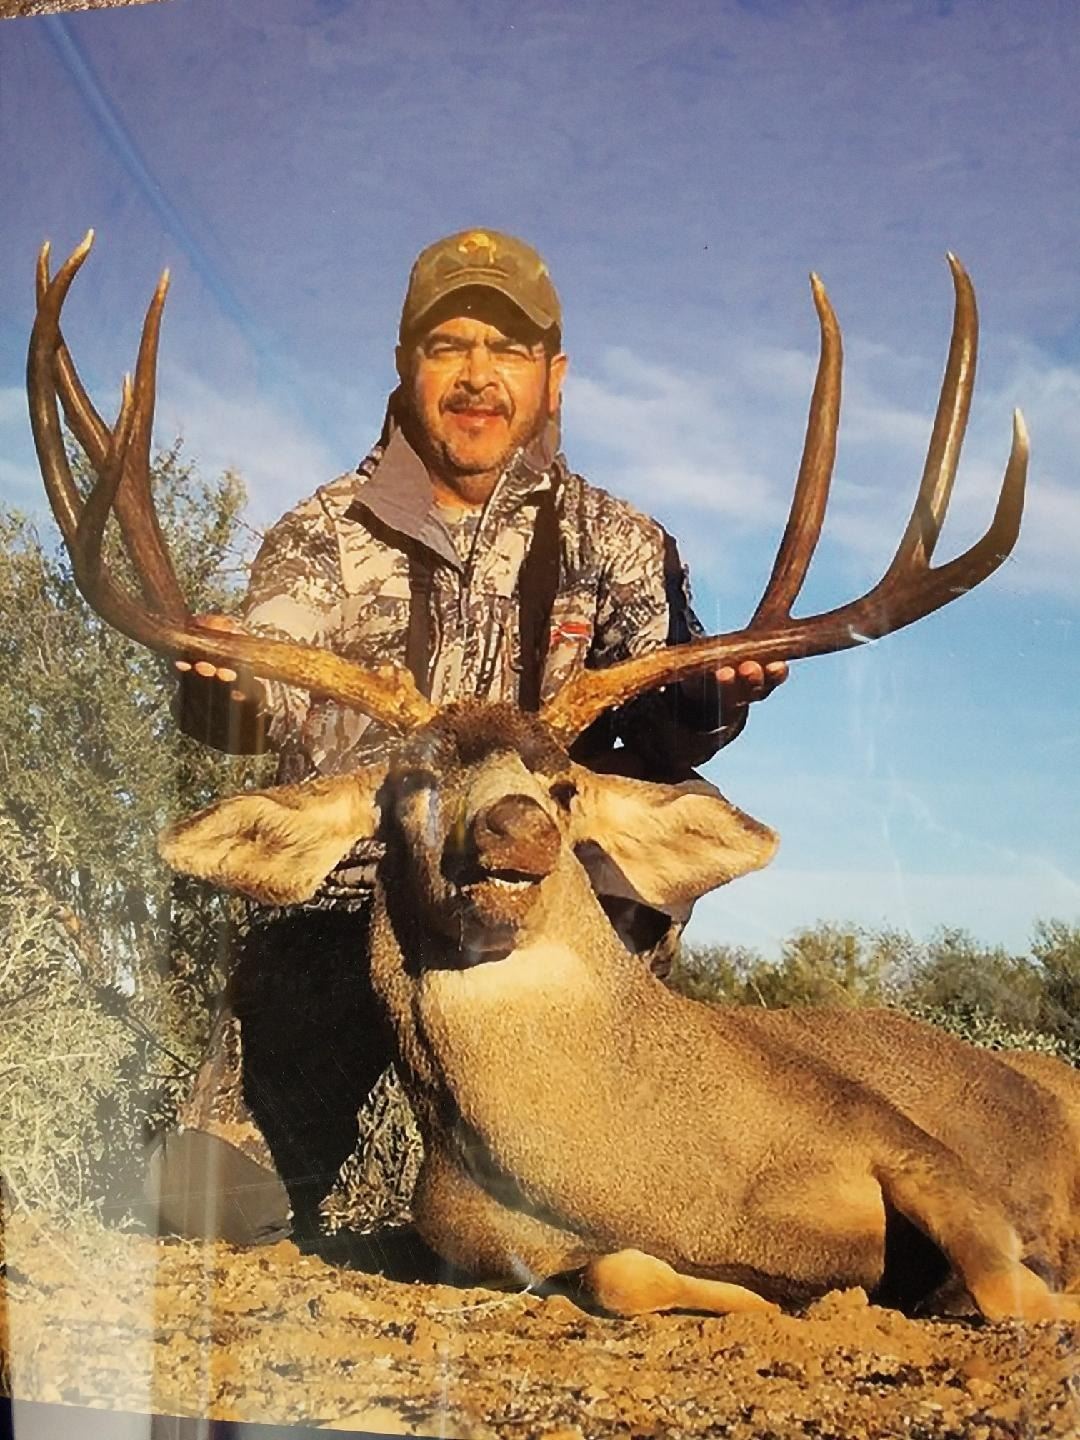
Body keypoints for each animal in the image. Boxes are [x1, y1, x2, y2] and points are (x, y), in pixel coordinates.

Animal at [28, 234, 1080, 1324]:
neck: (621, 1164)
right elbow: (622, 1271)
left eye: (566, 787)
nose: (517, 831)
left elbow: (1008, 1285)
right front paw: (758, 1296)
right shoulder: (492, 1245)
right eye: (414, 782)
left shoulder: (896, 1137)